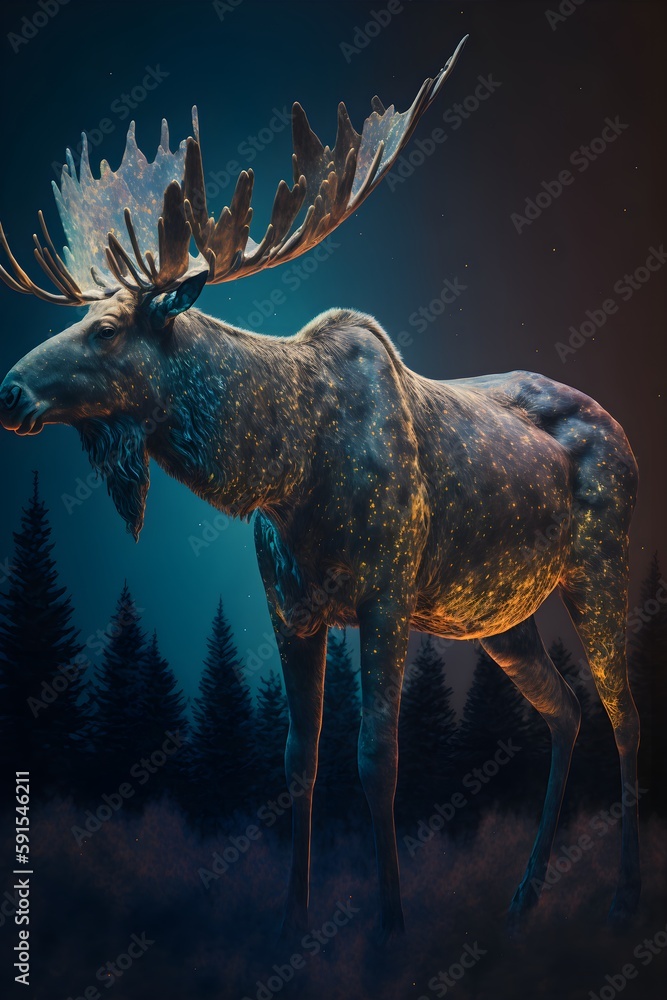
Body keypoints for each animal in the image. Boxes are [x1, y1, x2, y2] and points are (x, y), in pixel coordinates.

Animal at [0, 35, 641, 943]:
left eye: (108, 326)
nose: (10, 391)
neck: (282, 466)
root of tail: (625, 435)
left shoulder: (385, 594)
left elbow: (378, 760)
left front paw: (390, 925)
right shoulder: (289, 606)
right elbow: (297, 763)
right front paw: (292, 920)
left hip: (596, 568)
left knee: (624, 714)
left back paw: (622, 895)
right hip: (496, 613)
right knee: (564, 710)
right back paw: (523, 895)